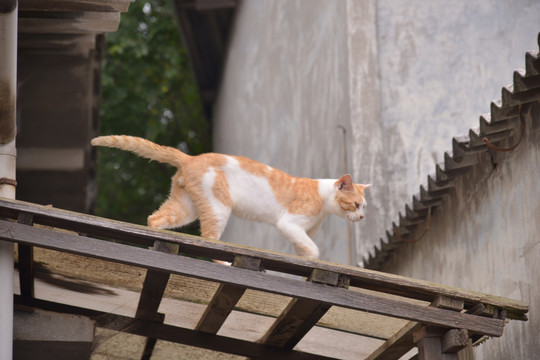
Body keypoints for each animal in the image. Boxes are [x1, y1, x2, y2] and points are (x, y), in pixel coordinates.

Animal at [93, 136, 372, 258]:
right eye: (356, 204)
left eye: (364, 207)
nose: (361, 217)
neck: (323, 201)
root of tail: (191, 158)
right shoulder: (289, 224)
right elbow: (313, 250)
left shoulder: (302, 233)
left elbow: (305, 250)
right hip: (218, 208)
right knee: (209, 240)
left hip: (186, 209)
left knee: (155, 219)